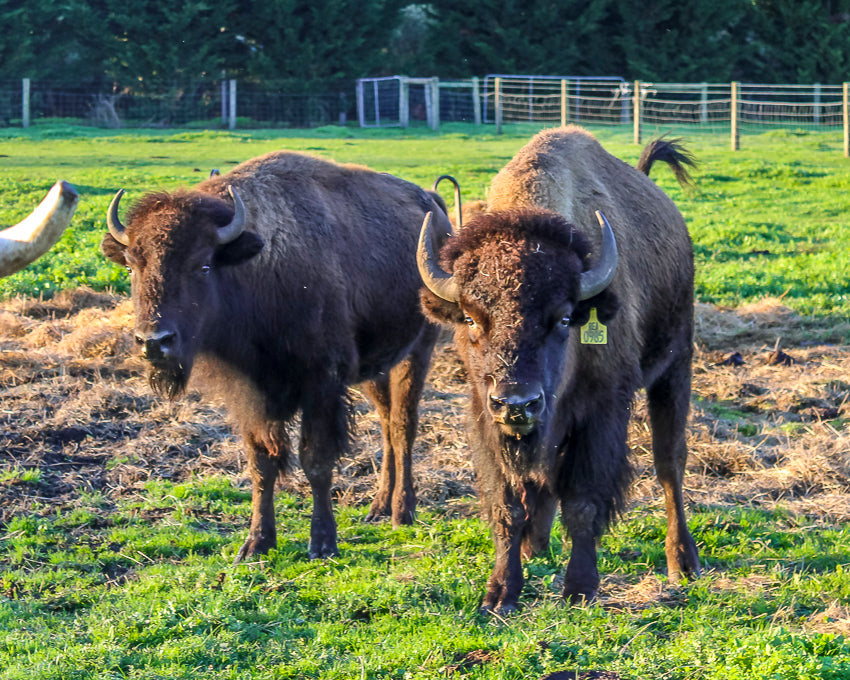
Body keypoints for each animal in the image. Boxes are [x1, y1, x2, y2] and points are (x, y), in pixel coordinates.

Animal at [101, 151, 451, 560]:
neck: (256, 268)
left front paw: (323, 542)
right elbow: (261, 463)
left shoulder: (322, 383)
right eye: (131, 265)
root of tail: (434, 205)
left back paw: (401, 512)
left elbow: (316, 461)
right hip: (374, 368)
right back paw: (378, 506)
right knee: (385, 424)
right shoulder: (251, 393)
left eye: (203, 265)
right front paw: (256, 543)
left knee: (402, 425)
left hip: (418, 350)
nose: (154, 341)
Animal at [418, 126, 701, 612]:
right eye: (471, 318)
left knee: (669, 461)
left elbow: (583, 501)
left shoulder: (603, 413)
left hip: (675, 365)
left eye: (565, 318)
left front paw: (580, 588)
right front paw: (500, 593)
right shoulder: (485, 418)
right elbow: (508, 504)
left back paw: (683, 562)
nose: (517, 403)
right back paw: (536, 546)